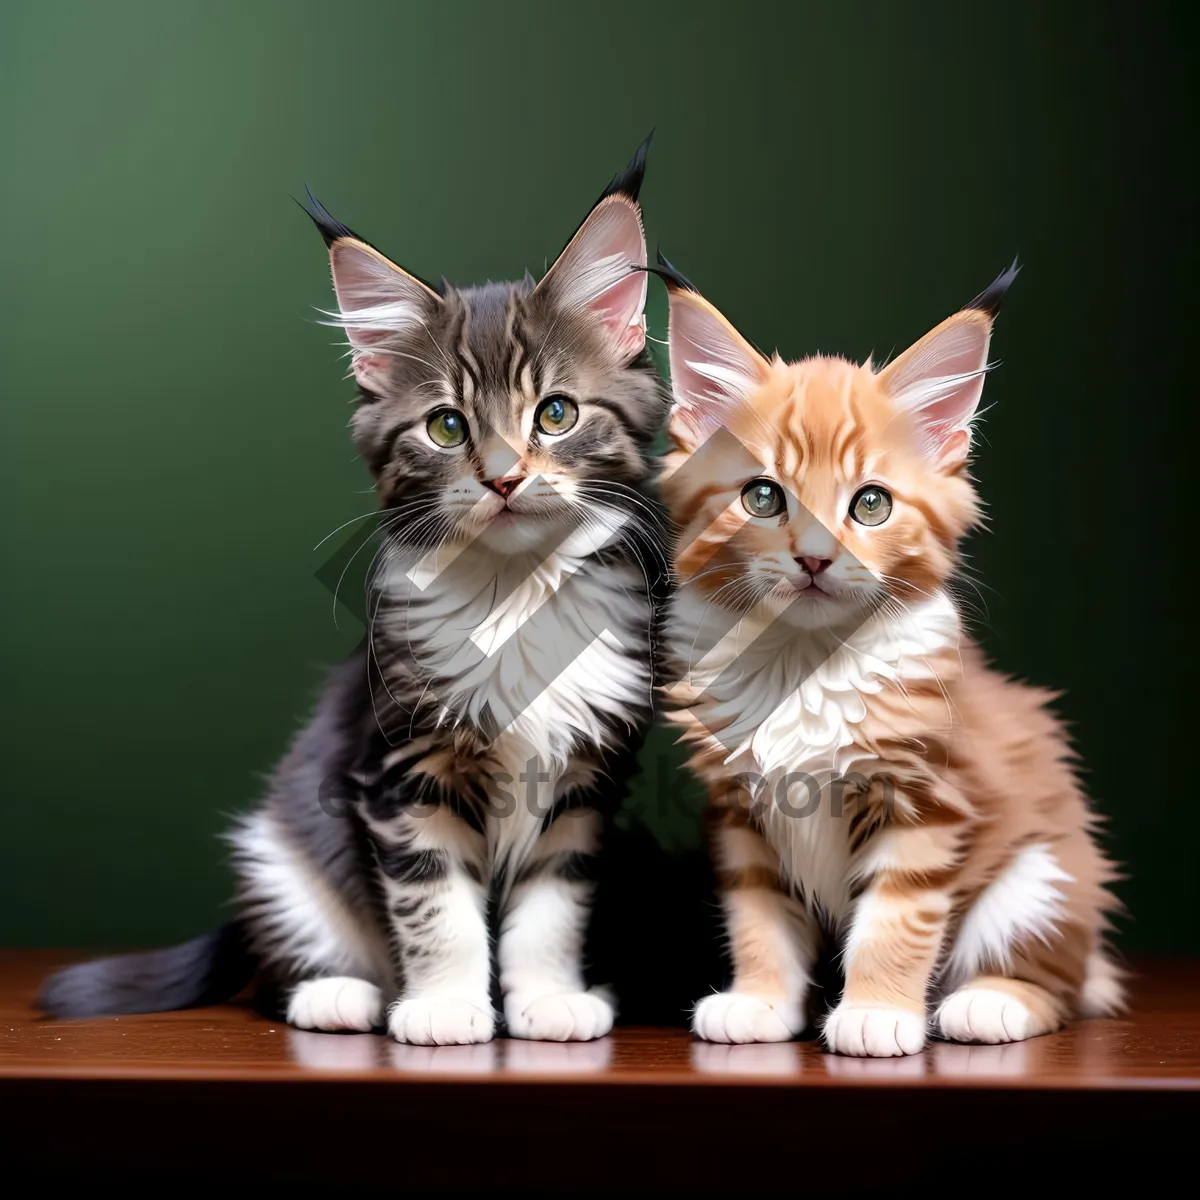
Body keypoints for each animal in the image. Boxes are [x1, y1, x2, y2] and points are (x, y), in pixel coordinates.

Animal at [42, 138, 672, 1041]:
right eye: (447, 427)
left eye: (555, 414)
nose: (505, 478)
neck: (515, 596)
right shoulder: (401, 767)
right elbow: (435, 905)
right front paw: (444, 1008)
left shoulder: (586, 781)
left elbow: (552, 907)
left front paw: (547, 1000)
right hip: (280, 851)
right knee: (281, 974)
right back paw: (345, 996)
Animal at [662, 260, 1118, 1051]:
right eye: (762, 498)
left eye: (870, 504)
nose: (815, 559)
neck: (804, 664)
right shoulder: (741, 814)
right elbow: (758, 917)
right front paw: (760, 1001)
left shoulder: (926, 801)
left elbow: (894, 922)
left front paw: (875, 1013)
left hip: (1045, 876)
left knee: (1060, 986)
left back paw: (990, 1002)